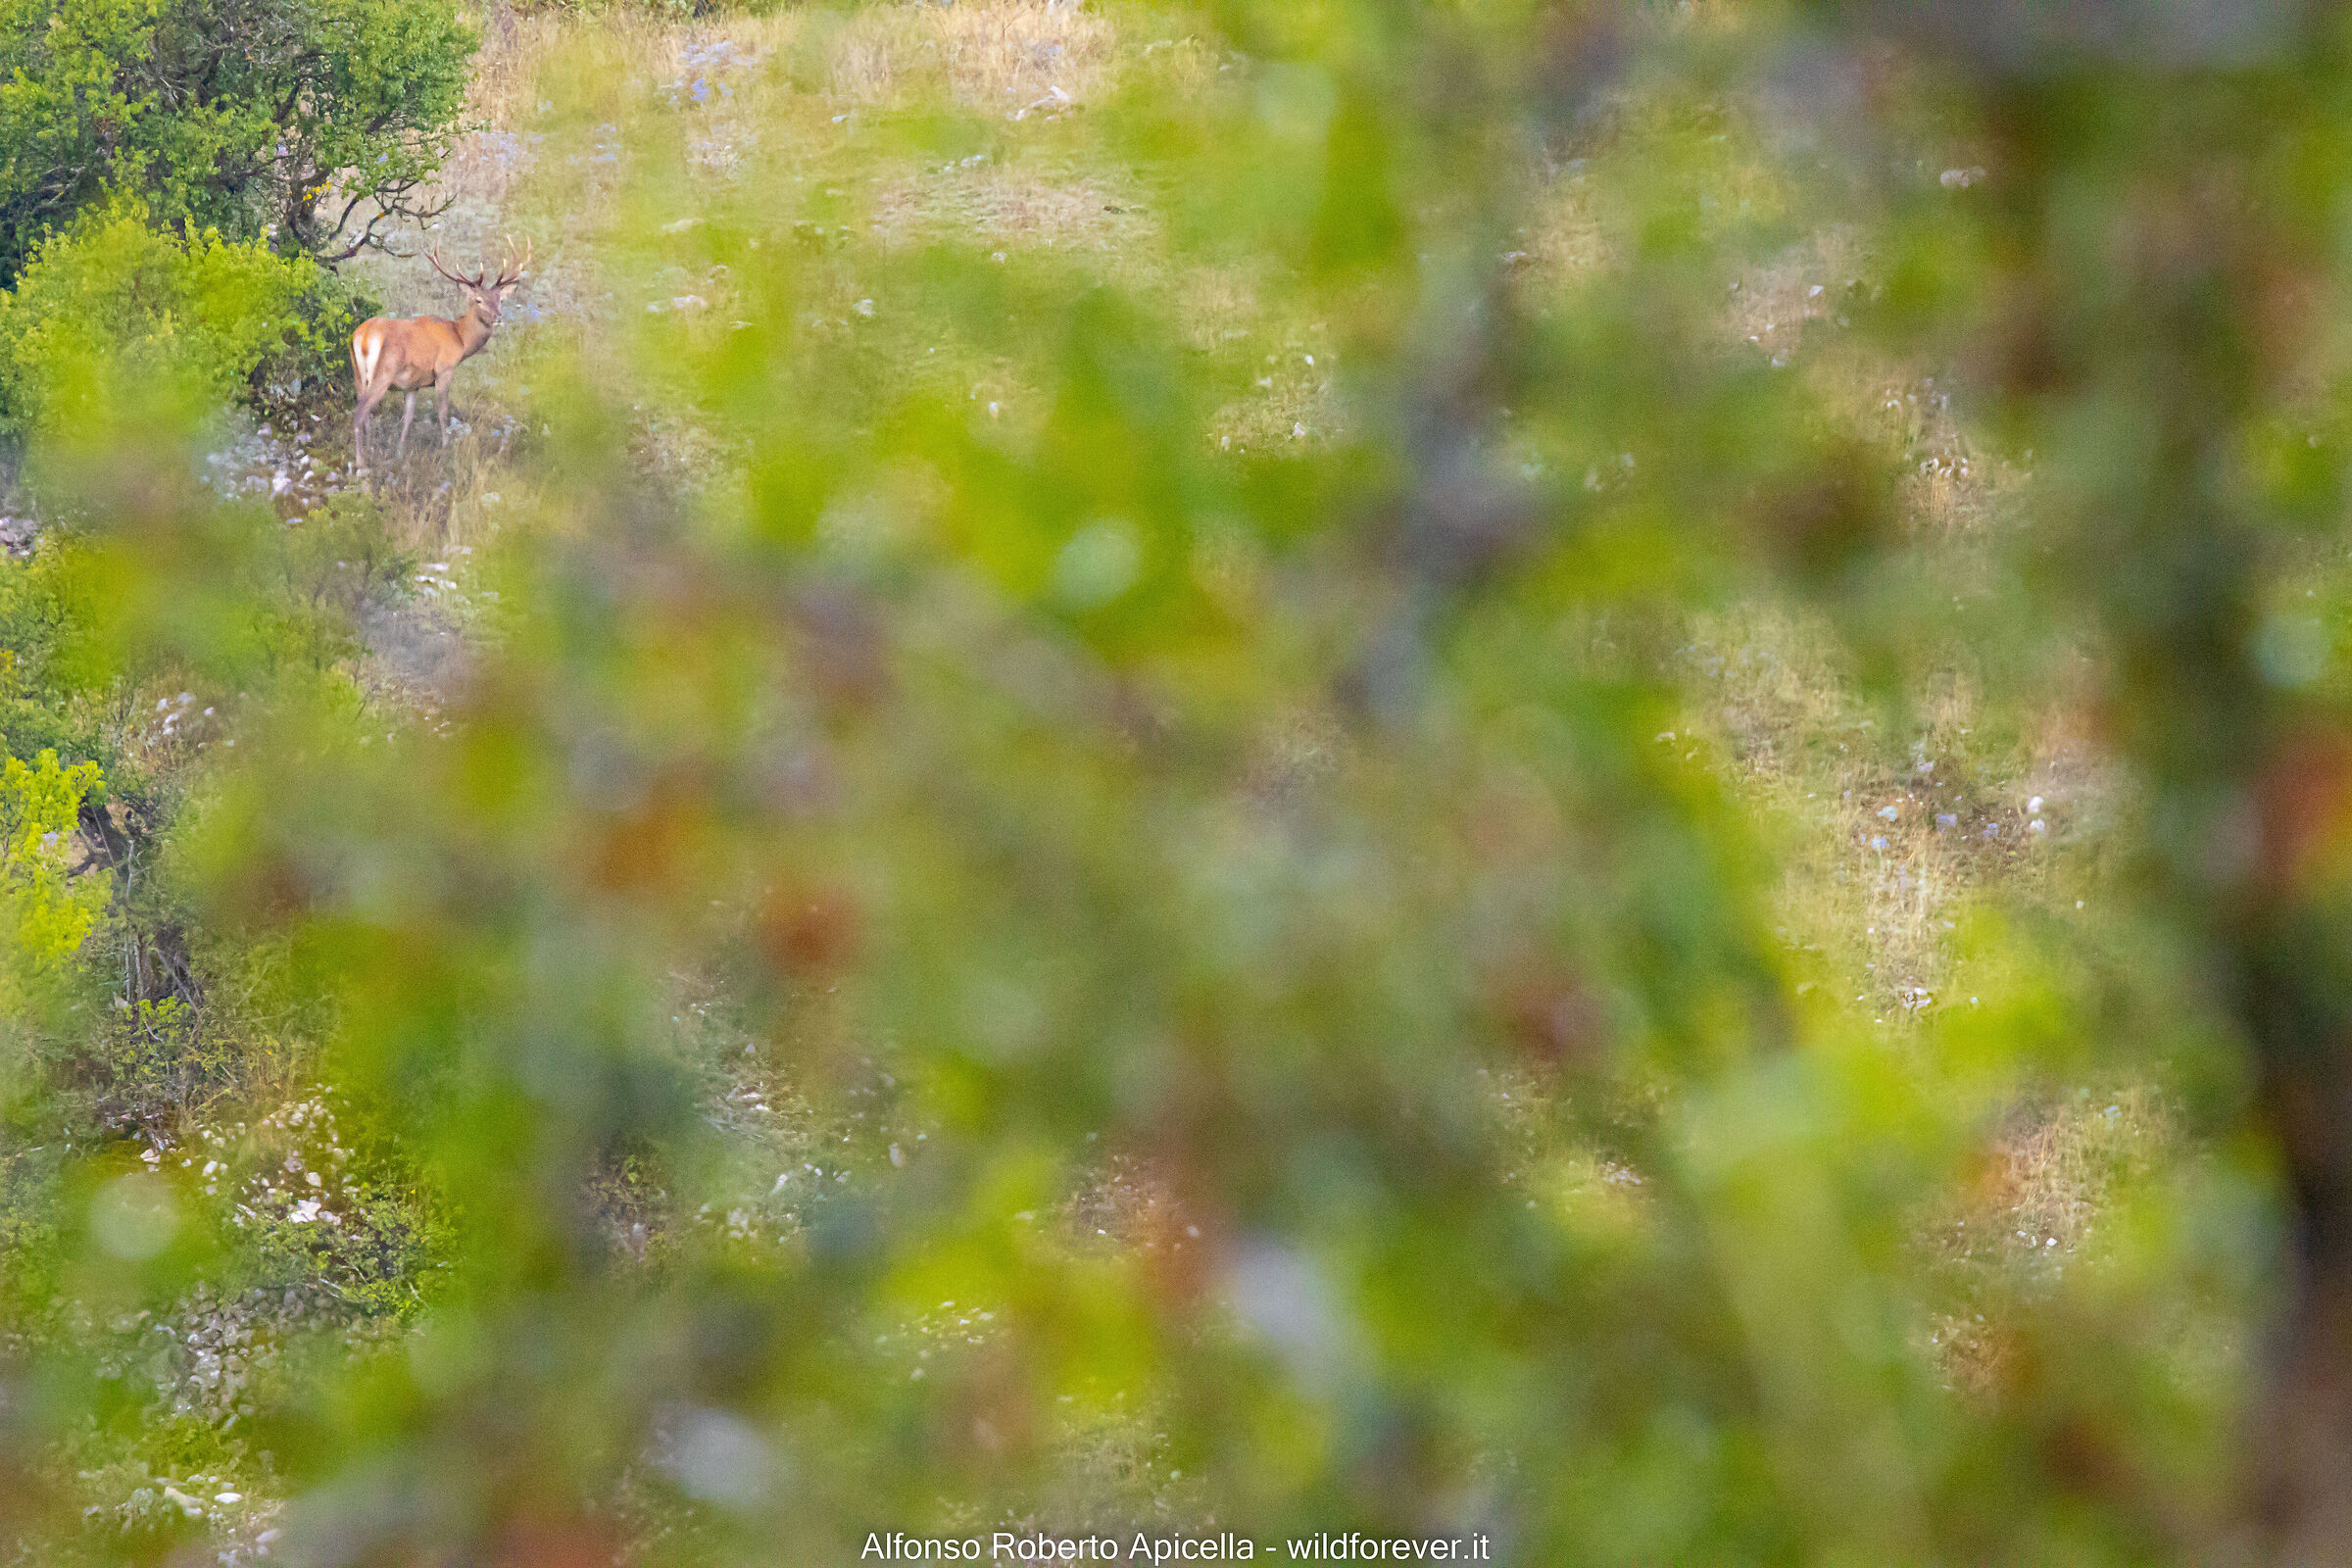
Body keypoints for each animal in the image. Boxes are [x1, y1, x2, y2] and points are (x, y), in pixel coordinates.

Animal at [350, 236, 531, 473]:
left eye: (500, 299)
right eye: (478, 300)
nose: (498, 316)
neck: (460, 339)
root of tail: (363, 337)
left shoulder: (413, 384)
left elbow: (408, 417)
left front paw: (400, 452)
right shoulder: (444, 368)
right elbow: (443, 411)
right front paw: (446, 446)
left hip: (358, 374)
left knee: (365, 413)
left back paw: (370, 449)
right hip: (383, 374)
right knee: (359, 412)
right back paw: (360, 463)